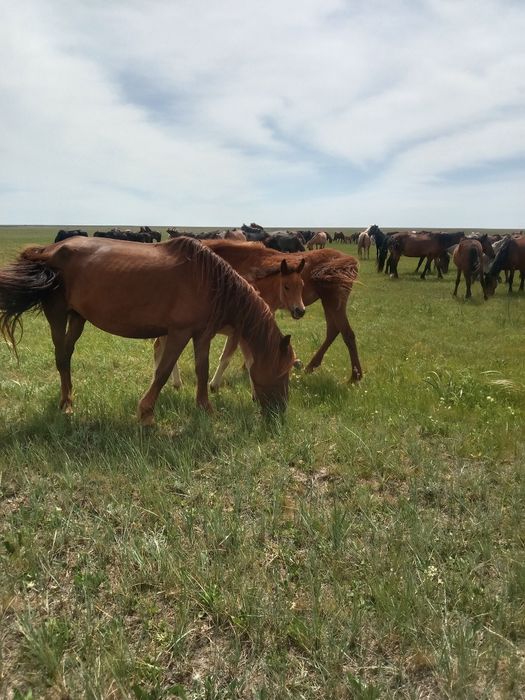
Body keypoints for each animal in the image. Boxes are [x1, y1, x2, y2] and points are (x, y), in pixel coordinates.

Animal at [0, 237, 295, 424]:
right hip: (58, 314)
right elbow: (163, 371)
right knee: (61, 357)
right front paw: (147, 414)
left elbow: (202, 370)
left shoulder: (202, 334)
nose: (281, 411)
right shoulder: (179, 332)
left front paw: (206, 409)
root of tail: (48, 251)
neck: (210, 281)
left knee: (67, 356)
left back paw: (68, 399)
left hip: (78, 318)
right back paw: (68, 405)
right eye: (284, 372)